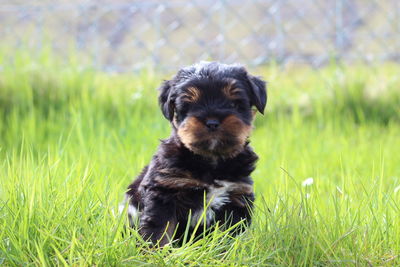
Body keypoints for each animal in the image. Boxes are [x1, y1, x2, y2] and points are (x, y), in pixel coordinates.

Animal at [120, 61, 268, 248]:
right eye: (190, 105)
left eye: (234, 104)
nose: (212, 122)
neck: (211, 161)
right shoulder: (163, 193)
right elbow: (159, 231)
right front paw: (157, 252)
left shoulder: (236, 196)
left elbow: (228, 237)